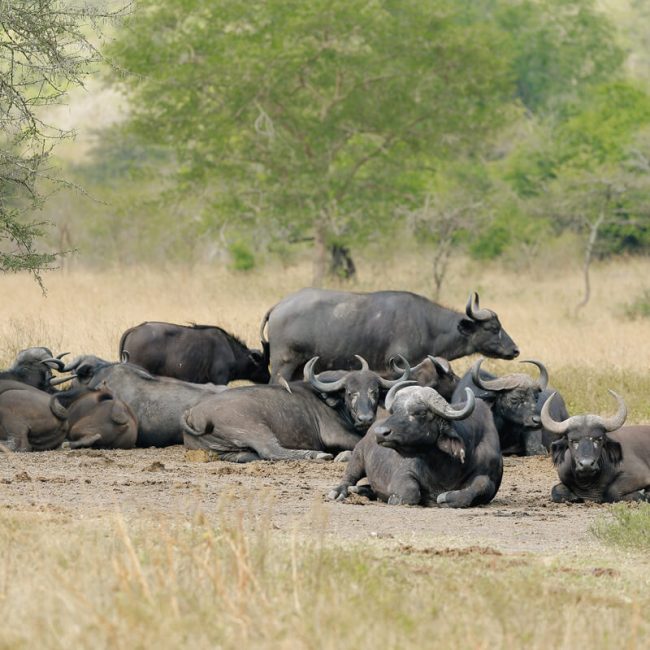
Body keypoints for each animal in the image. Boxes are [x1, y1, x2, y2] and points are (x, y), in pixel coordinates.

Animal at [182, 356, 408, 462]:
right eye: (350, 393)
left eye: (374, 391)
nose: (365, 418)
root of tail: (192, 413)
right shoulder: (335, 434)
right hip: (253, 428)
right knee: (271, 450)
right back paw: (318, 455)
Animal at [261, 289, 519, 382]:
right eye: (492, 328)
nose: (515, 350)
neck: (429, 325)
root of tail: (279, 306)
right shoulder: (401, 364)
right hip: (284, 364)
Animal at [327, 383, 503, 507]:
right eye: (394, 411)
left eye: (421, 412)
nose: (381, 433)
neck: (445, 467)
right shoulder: (403, 473)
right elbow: (410, 492)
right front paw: (395, 499)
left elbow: (483, 484)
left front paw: (448, 497)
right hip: (358, 455)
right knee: (349, 477)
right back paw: (339, 492)